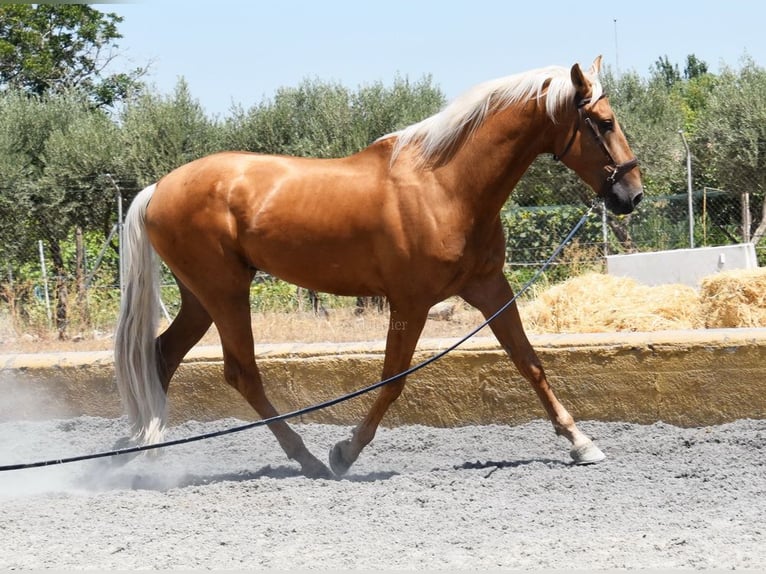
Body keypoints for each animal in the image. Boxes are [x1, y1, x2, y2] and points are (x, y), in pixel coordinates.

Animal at [114, 57, 640, 482]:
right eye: (604, 122)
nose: (631, 194)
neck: (445, 185)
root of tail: (159, 188)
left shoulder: (489, 287)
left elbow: (529, 362)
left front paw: (581, 443)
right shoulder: (410, 302)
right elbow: (393, 378)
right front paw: (344, 452)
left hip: (201, 298)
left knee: (161, 357)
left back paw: (139, 448)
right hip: (225, 292)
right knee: (241, 373)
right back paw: (306, 459)